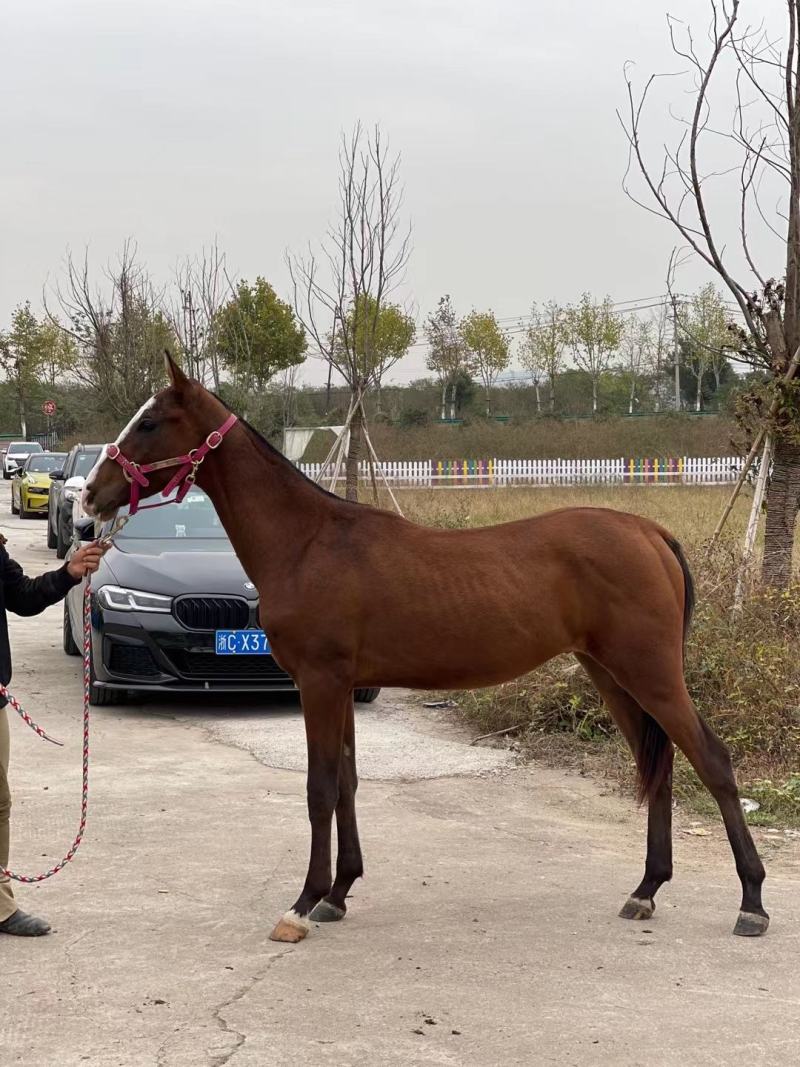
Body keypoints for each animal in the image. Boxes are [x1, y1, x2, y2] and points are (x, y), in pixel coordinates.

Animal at [82, 353, 768, 943]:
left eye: (149, 422)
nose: (90, 494)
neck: (306, 542)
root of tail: (649, 531)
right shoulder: (341, 687)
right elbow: (348, 782)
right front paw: (338, 894)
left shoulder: (320, 683)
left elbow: (320, 788)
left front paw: (302, 903)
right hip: (610, 675)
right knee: (661, 766)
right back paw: (646, 890)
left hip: (649, 673)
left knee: (712, 760)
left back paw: (752, 903)